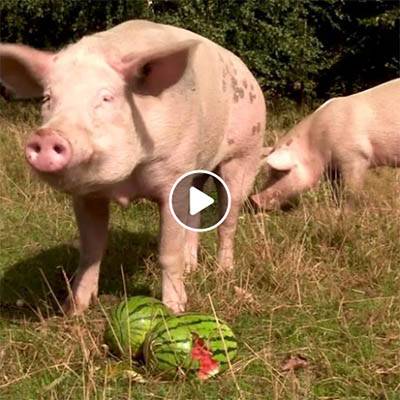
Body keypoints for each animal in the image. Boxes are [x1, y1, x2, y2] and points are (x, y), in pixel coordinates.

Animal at [1, 20, 268, 314]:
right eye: (48, 98)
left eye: (106, 98)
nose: (47, 136)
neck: (126, 181)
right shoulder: (86, 195)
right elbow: (91, 251)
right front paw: (74, 311)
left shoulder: (174, 176)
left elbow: (168, 252)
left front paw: (175, 309)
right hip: (198, 167)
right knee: (195, 215)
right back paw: (191, 268)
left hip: (245, 152)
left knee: (228, 220)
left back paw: (223, 272)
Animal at [252, 78, 398, 209]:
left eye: (279, 173)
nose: (253, 200)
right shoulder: (333, 168)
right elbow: (334, 189)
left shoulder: (356, 156)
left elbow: (351, 190)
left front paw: (346, 212)